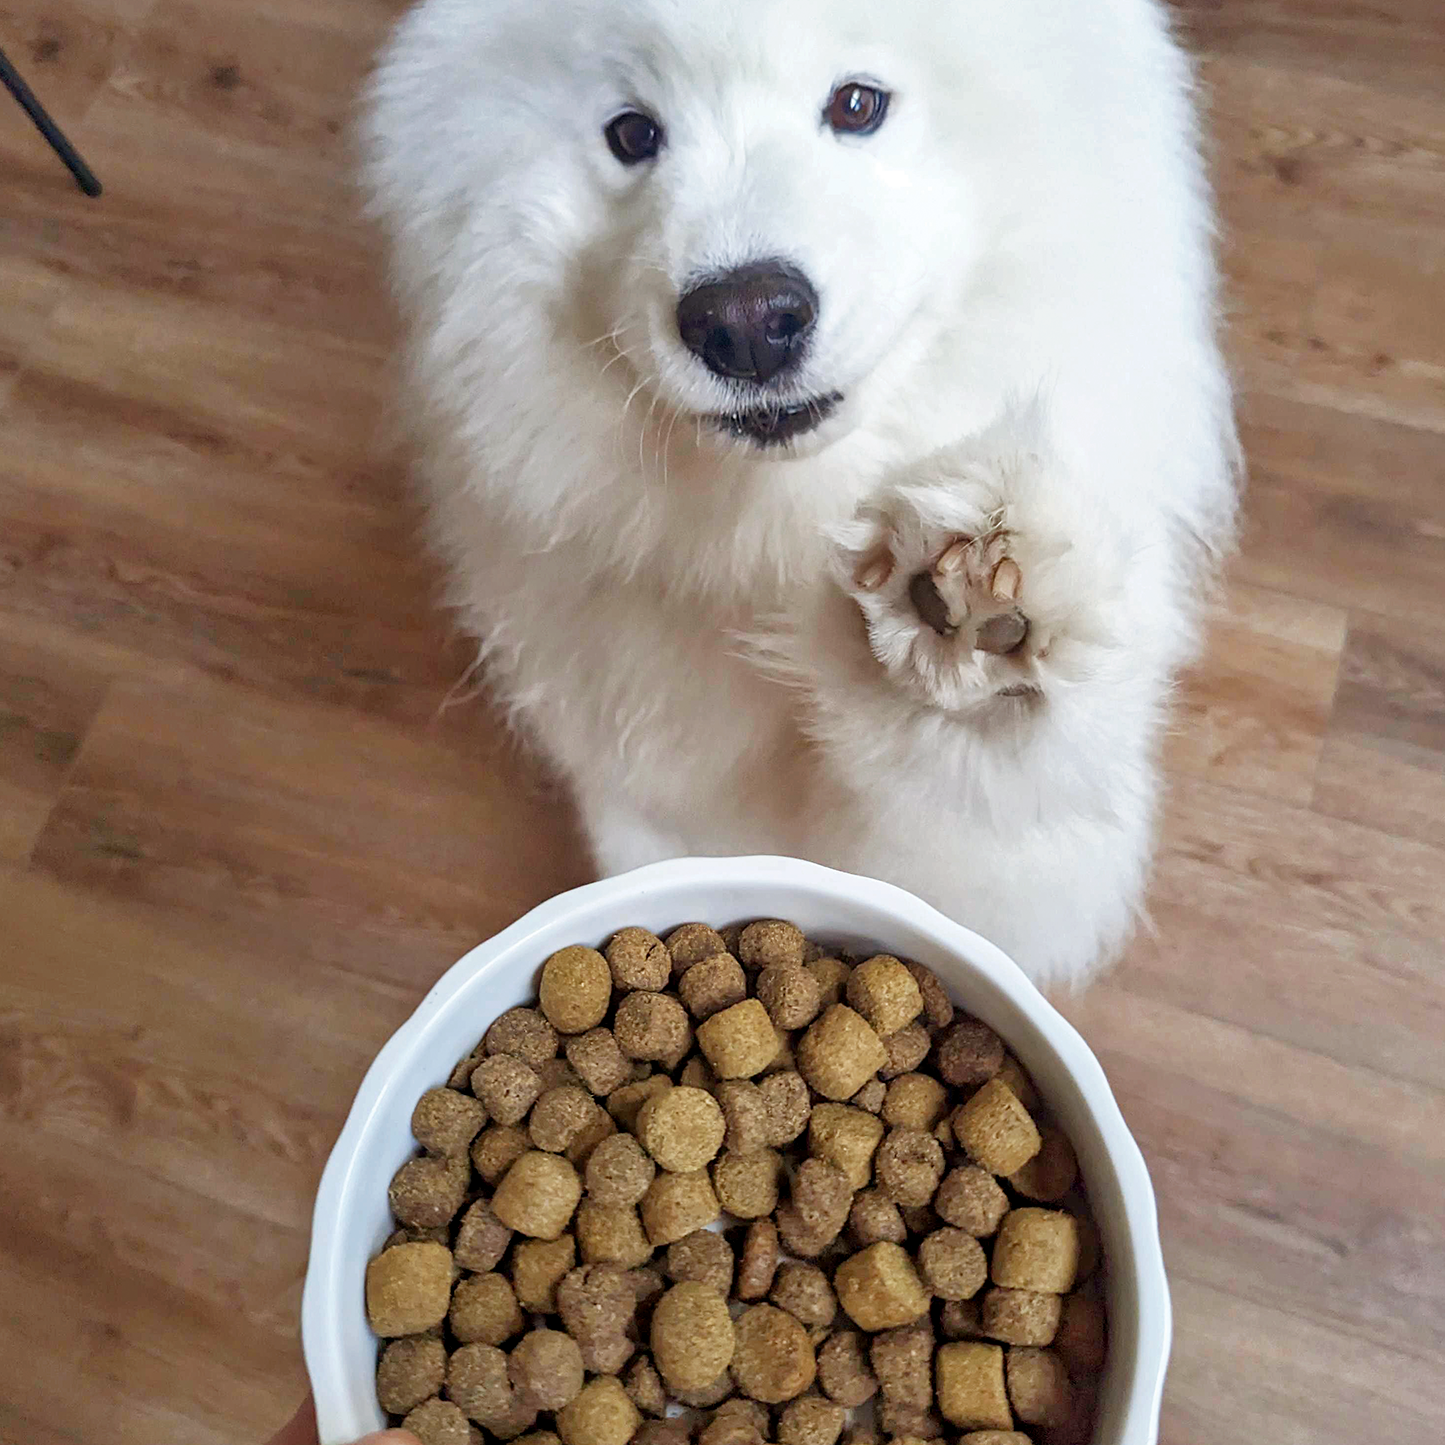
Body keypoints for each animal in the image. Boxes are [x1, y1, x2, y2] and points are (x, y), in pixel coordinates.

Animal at [361, 0, 1231, 988]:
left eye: (857, 103)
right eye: (632, 133)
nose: (743, 321)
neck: (772, 535)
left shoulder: (1016, 878)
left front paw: (972, 618)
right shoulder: (649, 782)